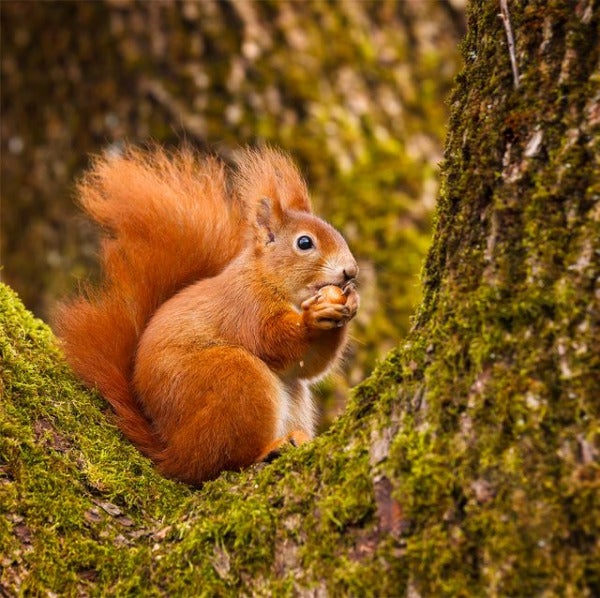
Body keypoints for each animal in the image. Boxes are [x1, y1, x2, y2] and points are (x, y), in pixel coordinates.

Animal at [54, 146, 358, 488]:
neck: (268, 279)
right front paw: (312, 318)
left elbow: (309, 365)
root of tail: (172, 453)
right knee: (223, 462)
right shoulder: (245, 307)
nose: (351, 272)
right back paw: (269, 448)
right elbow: (272, 340)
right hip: (234, 379)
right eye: (304, 243)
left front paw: (349, 303)